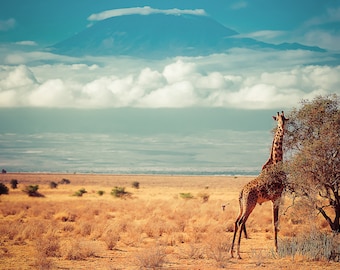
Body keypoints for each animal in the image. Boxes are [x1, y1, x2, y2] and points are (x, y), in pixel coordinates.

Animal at [230, 110, 288, 258]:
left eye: (284, 118)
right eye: (277, 119)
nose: (281, 127)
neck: (277, 161)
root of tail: (241, 192)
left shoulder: (276, 198)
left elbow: (275, 223)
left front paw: (276, 248)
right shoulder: (277, 197)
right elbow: (275, 223)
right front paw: (276, 249)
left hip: (242, 205)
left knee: (236, 221)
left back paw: (231, 252)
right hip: (250, 204)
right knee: (241, 222)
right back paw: (238, 253)